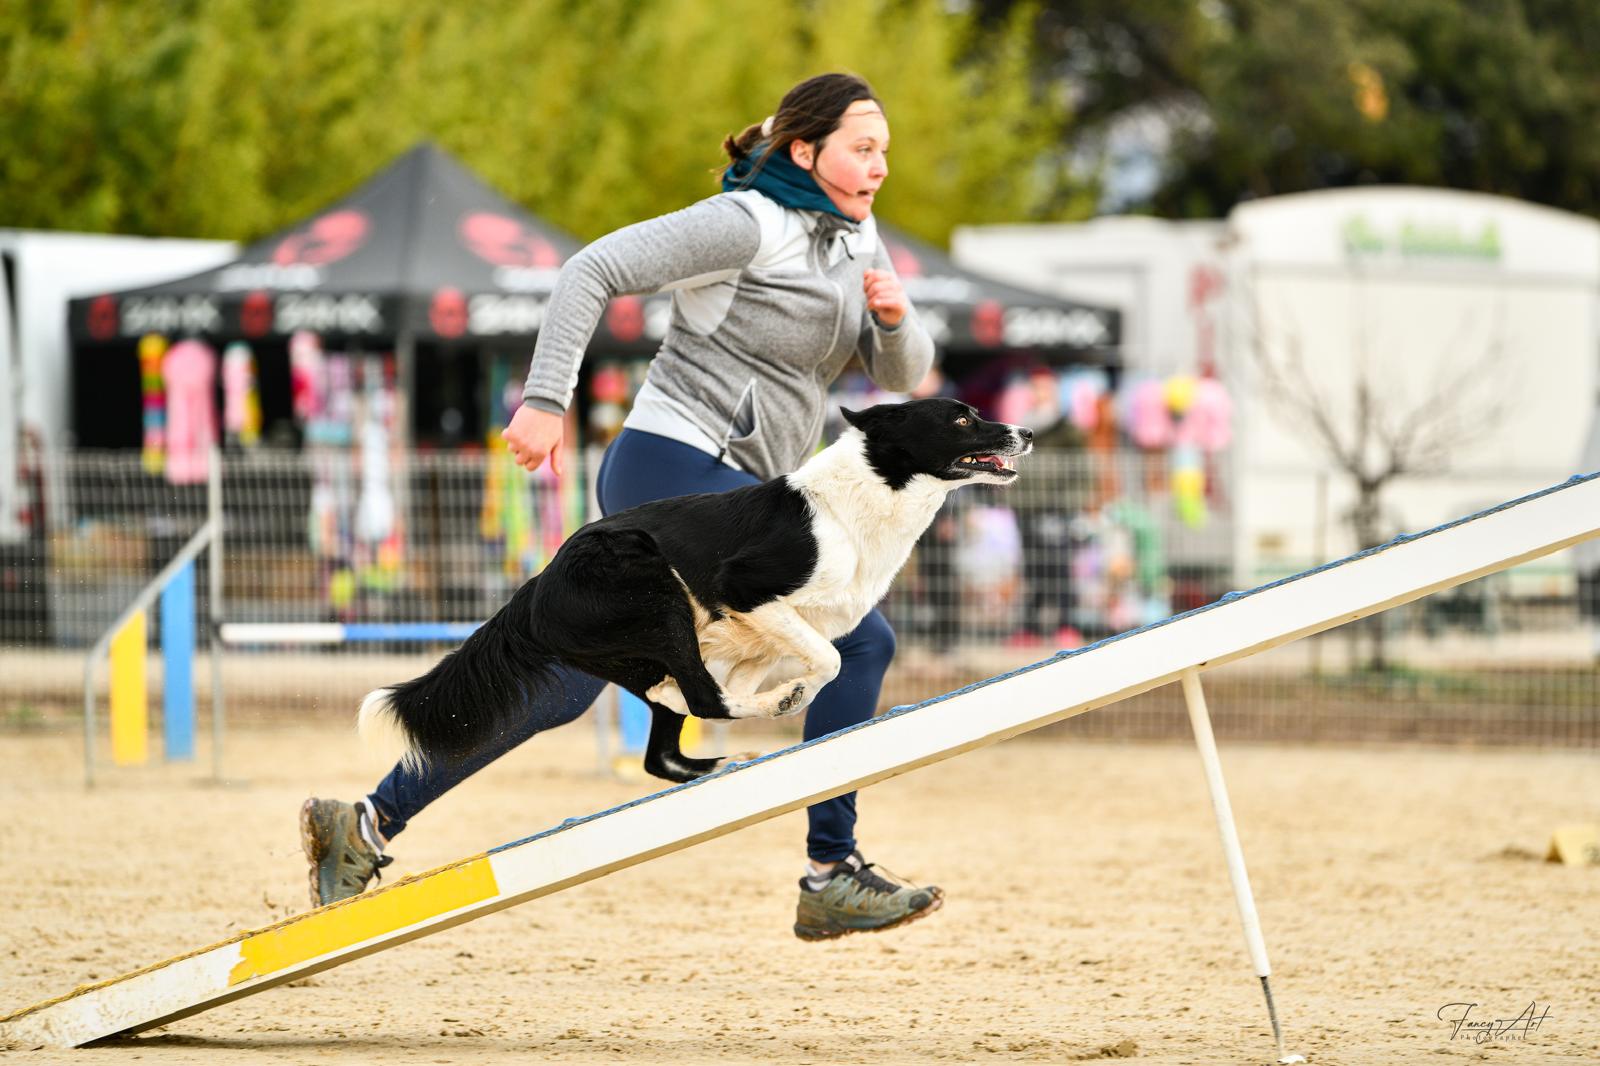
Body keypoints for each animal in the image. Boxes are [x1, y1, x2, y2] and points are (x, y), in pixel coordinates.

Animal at [358, 398, 1032, 784]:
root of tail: (537, 583)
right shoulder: (747, 590)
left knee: (667, 734)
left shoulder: (752, 639)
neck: (870, 492)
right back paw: (765, 713)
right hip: (656, 594)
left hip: (649, 642)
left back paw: (725, 754)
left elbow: (778, 669)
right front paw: (794, 695)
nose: (1025, 432)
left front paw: (783, 696)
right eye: (962, 419)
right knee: (698, 701)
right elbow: (827, 661)